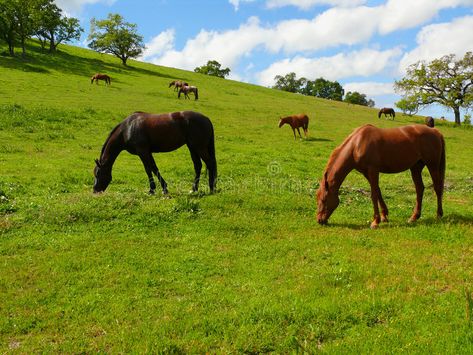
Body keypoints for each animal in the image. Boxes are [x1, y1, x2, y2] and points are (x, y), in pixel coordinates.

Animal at [316, 125, 444, 229]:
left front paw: (375, 222)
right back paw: (414, 217)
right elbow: (378, 192)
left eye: (324, 199)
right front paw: (384, 216)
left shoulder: (373, 171)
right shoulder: (366, 173)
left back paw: (438, 215)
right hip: (416, 168)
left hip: (432, 165)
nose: (319, 220)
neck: (357, 144)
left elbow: (373, 195)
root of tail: (435, 131)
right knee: (419, 188)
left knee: (437, 188)